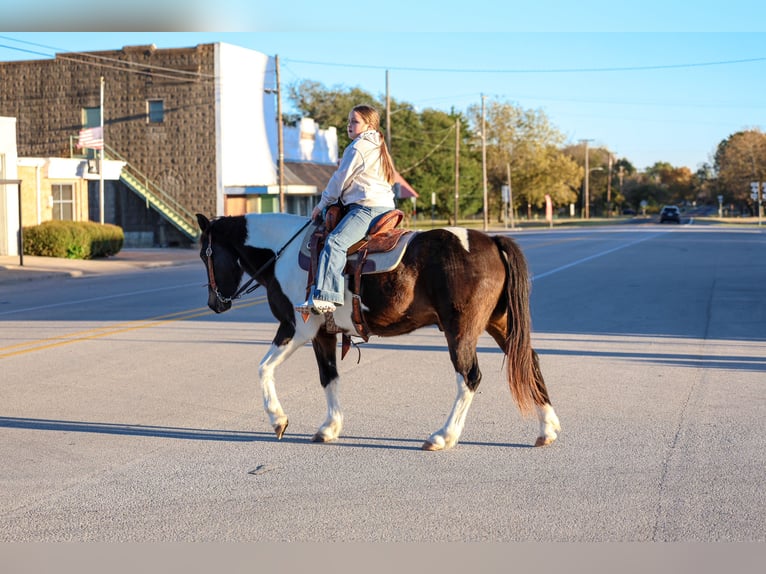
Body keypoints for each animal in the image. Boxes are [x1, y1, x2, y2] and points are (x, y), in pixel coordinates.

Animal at [196, 212, 560, 451]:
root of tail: (492, 241)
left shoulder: (296, 328)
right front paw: (330, 427)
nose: (214, 303)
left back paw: (444, 436)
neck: (282, 254)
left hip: (460, 330)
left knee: (469, 376)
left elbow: (264, 369)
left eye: (203, 253)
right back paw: (547, 429)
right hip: (500, 324)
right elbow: (329, 378)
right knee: (530, 361)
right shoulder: (323, 333)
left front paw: (278, 420)